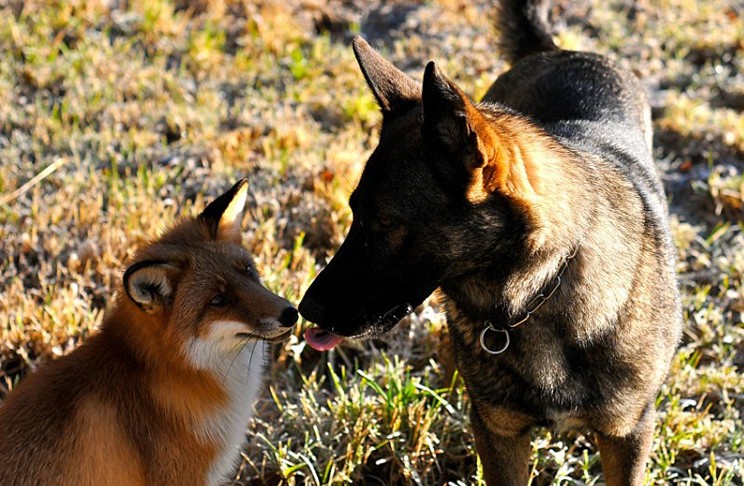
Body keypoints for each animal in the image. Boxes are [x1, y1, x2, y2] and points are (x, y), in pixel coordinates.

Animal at [300, 1, 680, 484]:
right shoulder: (498, 434)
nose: (303, 309)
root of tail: (556, 51)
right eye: (354, 213)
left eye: (383, 222)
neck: (540, 289)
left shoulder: (627, 434)